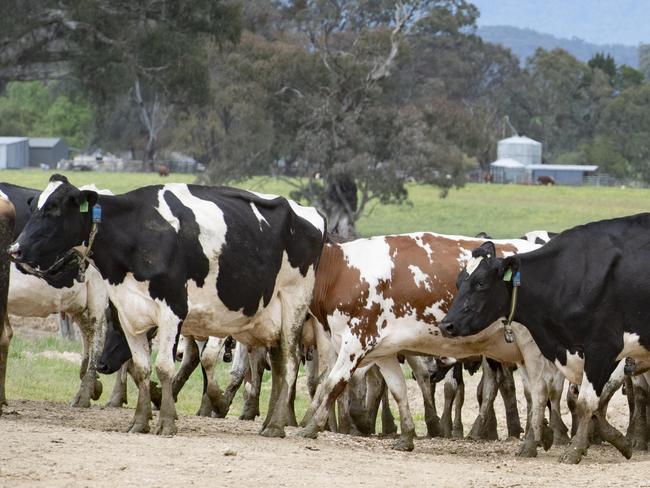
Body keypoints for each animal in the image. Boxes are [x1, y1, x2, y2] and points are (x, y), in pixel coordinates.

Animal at [10, 174, 324, 434]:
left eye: (54, 208)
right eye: (35, 207)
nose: (15, 249)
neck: (138, 233)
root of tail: (311, 213)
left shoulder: (173, 309)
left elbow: (163, 367)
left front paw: (167, 422)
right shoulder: (128, 312)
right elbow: (141, 368)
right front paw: (139, 421)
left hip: (294, 306)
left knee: (290, 363)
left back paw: (277, 425)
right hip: (269, 319)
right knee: (279, 365)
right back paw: (270, 422)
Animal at [298, 234, 560, 454]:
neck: (341, 272)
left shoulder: (356, 341)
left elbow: (334, 382)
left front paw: (313, 426)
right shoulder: (382, 351)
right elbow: (396, 388)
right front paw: (406, 436)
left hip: (531, 348)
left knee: (539, 389)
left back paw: (534, 440)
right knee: (532, 389)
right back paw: (542, 433)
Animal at [438, 215, 650, 464]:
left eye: (480, 283)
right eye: (458, 282)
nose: (446, 325)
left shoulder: (603, 350)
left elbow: (587, 401)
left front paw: (575, 449)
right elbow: (567, 397)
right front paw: (620, 442)